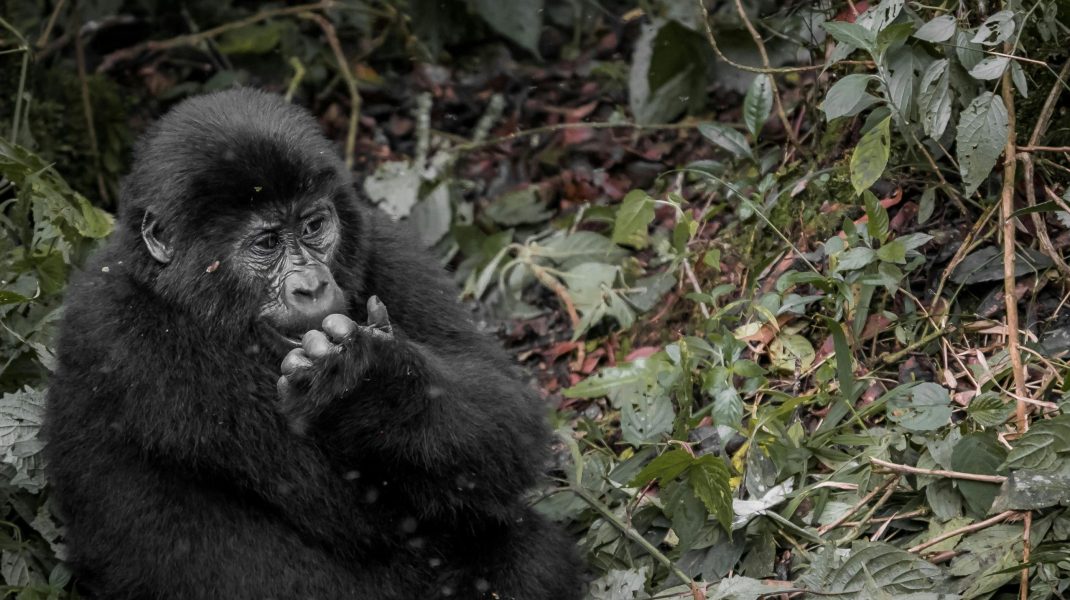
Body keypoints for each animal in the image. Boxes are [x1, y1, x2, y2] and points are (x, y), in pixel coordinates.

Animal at [46, 85, 586, 598]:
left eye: (313, 226)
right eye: (266, 244)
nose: (312, 286)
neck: (180, 296)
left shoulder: (383, 244)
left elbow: (506, 418)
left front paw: (371, 383)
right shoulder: (128, 339)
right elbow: (350, 510)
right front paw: (359, 385)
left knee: (528, 555)